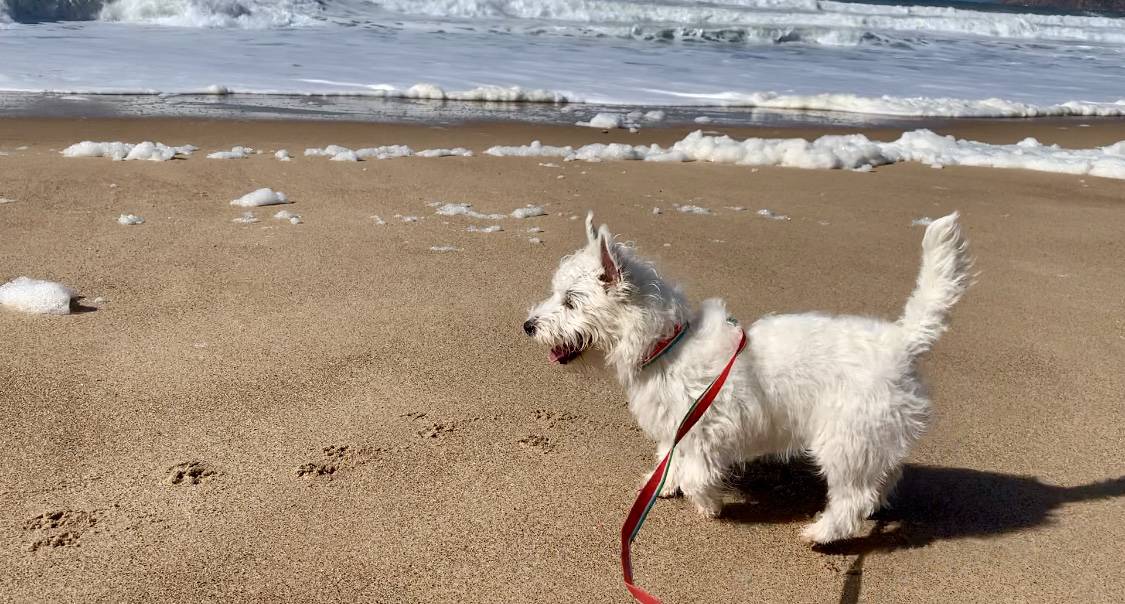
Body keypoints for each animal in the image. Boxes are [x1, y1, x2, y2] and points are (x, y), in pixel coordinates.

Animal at [522, 211, 972, 542]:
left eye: (570, 302)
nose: (528, 326)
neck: (668, 344)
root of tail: (903, 341)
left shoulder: (706, 428)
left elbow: (697, 473)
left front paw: (708, 504)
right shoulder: (675, 426)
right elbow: (669, 457)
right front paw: (662, 483)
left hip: (843, 440)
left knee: (852, 498)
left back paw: (823, 533)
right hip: (870, 437)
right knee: (882, 477)